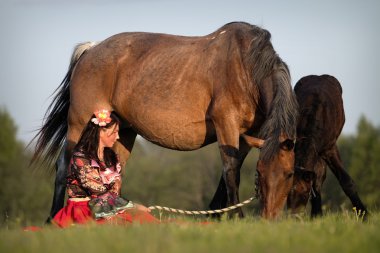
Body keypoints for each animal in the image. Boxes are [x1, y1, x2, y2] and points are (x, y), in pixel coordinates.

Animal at [31, 21, 300, 220]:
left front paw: (215, 215)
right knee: (64, 166)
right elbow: (231, 172)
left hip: (123, 132)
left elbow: (228, 174)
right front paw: (235, 217)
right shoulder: (227, 124)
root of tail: (92, 49)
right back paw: (52, 218)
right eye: (260, 173)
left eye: (289, 174)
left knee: (115, 171)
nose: (269, 219)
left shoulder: (246, 136)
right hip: (79, 124)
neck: (246, 67)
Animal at [288, 74, 368, 218]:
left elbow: (346, 181)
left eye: (304, 192)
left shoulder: (330, 148)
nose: (294, 217)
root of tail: (318, 76)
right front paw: (316, 214)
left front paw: (364, 214)